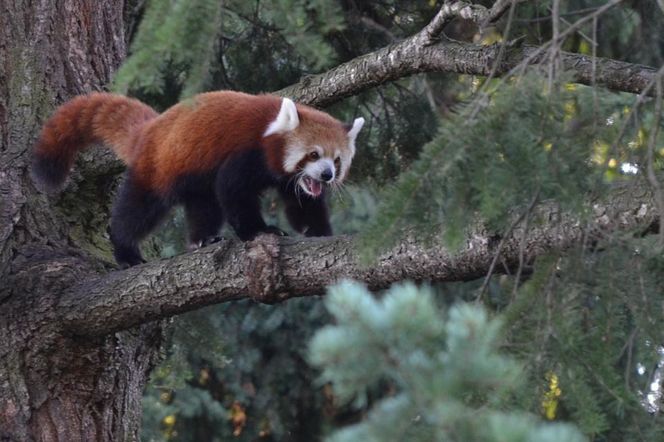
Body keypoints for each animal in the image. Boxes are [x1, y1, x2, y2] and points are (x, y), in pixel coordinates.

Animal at [33, 91, 366, 268]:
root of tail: (151, 127)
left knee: (204, 207)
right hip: (157, 169)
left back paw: (203, 239)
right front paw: (260, 231)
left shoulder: (291, 181)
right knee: (138, 210)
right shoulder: (246, 153)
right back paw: (126, 251)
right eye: (313, 154)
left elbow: (302, 204)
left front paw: (319, 232)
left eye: (337, 160)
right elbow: (233, 192)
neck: (270, 136)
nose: (327, 174)